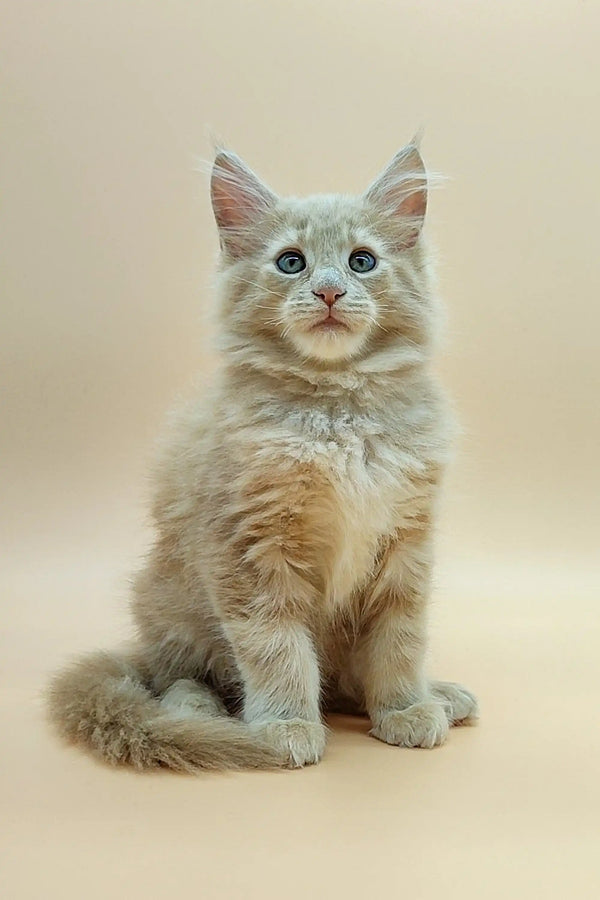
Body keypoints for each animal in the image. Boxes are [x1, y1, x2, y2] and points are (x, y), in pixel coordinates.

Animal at [47, 142, 478, 772]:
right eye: (291, 263)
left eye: (362, 262)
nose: (329, 291)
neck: (337, 409)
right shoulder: (249, 545)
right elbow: (276, 646)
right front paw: (285, 724)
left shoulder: (406, 543)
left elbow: (400, 641)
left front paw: (404, 707)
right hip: (168, 605)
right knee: (179, 676)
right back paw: (198, 712)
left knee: (347, 683)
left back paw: (438, 695)